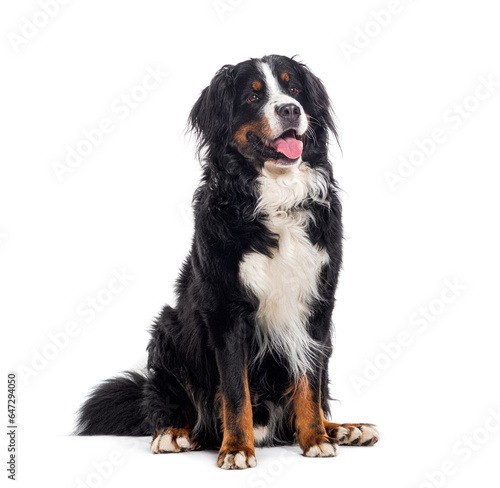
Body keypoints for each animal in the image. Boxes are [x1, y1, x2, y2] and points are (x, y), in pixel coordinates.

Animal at [76, 53, 376, 468]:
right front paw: (236, 448)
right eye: (252, 96)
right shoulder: (226, 310)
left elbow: (309, 385)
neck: (275, 198)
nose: (290, 109)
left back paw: (345, 429)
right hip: (167, 329)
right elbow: (236, 391)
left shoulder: (317, 306)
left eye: (294, 88)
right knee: (170, 407)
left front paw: (316, 438)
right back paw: (175, 433)